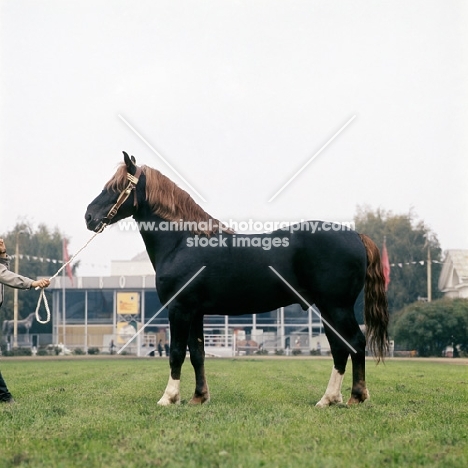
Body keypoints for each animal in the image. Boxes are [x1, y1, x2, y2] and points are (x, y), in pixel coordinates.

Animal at [84, 154, 388, 406]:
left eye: (116, 186)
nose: (88, 216)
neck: (182, 242)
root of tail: (357, 236)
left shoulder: (179, 309)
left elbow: (177, 353)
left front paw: (168, 398)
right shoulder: (195, 312)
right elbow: (197, 353)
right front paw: (199, 397)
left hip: (336, 307)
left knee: (354, 343)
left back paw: (354, 397)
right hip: (328, 309)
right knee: (340, 348)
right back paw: (331, 399)